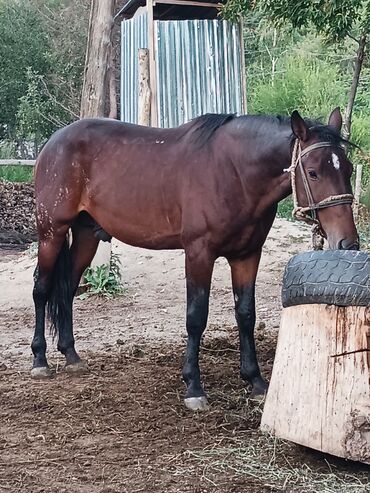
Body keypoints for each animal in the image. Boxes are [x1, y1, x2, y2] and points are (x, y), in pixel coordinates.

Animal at [31, 109, 358, 410]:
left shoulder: (247, 255)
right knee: (42, 289)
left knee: (67, 289)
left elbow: (246, 315)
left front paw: (255, 380)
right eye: (313, 172)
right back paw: (40, 360)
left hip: (86, 235)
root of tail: (53, 142)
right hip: (51, 233)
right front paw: (194, 386)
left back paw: (71, 355)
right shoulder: (199, 253)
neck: (234, 172)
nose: (348, 242)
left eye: (349, 169)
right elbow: (196, 317)